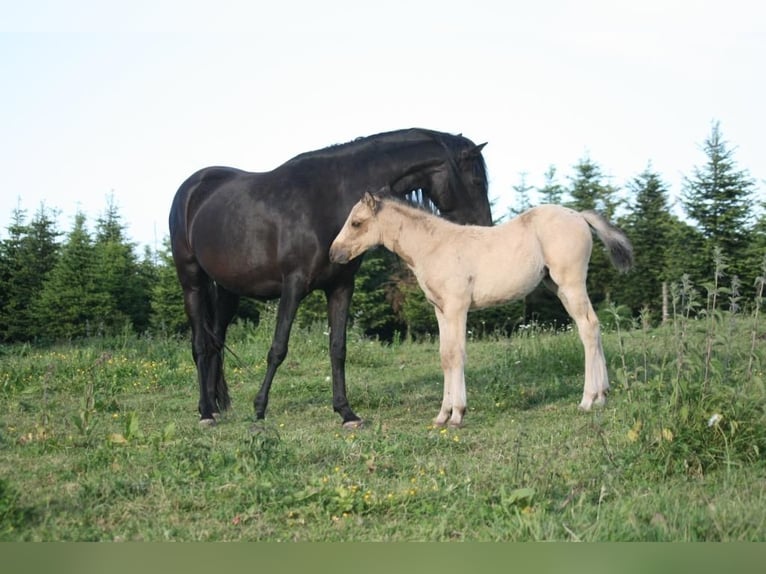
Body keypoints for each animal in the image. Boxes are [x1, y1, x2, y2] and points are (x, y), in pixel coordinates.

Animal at [168, 129, 492, 428]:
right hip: (192, 281)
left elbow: (338, 348)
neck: (328, 198)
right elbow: (278, 348)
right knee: (200, 345)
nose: (485, 229)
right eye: (477, 182)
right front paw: (259, 409)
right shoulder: (293, 285)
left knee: (216, 343)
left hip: (227, 290)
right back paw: (206, 412)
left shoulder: (341, 286)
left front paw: (346, 413)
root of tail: (191, 189)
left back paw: (213, 406)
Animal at [330, 192, 636, 428]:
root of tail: (579, 216)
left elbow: (456, 355)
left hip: (570, 282)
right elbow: (444, 356)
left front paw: (457, 415)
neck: (434, 247)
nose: (334, 254)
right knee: (592, 326)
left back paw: (588, 399)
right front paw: (441, 416)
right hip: (558, 286)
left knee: (589, 328)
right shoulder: (441, 310)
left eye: (356, 223)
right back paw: (603, 395)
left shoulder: (457, 307)